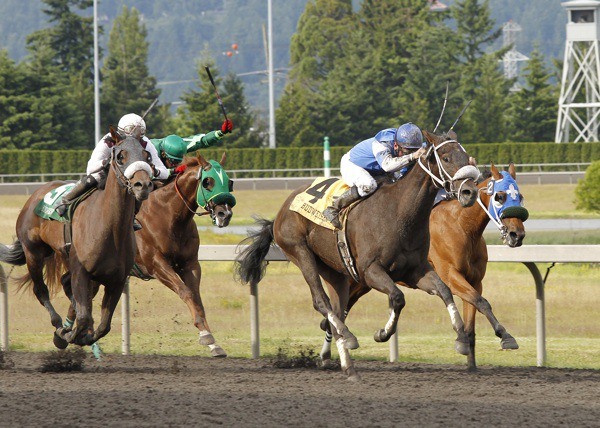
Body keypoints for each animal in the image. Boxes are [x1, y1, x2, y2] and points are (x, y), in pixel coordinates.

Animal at [0, 129, 152, 346]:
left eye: (147, 156)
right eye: (120, 156)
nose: (142, 185)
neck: (111, 228)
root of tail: (37, 193)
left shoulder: (117, 279)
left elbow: (103, 326)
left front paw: (84, 335)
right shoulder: (81, 271)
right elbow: (84, 317)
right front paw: (68, 334)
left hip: (64, 254)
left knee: (65, 282)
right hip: (34, 252)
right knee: (41, 290)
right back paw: (58, 324)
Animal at [237, 129, 480, 380]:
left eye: (467, 157)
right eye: (446, 158)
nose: (470, 192)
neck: (398, 213)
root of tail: (280, 212)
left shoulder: (417, 271)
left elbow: (444, 291)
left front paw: (462, 340)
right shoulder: (370, 271)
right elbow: (397, 297)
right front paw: (382, 333)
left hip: (334, 271)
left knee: (337, 309)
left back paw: (346, 362)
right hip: (300, 252)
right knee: (321, 302)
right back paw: (348, 340)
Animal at [316, 162, 528, 370]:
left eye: (520, 196)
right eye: (500, 196)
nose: (517, 235)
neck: (462, 226)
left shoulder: (475, 280)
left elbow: (474, 314)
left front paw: (471, 364)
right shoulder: (450, 275)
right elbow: (481, 301)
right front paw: (505, 336)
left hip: (363, 283)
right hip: (357, 278)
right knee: (337, 312)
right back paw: (327, 355)